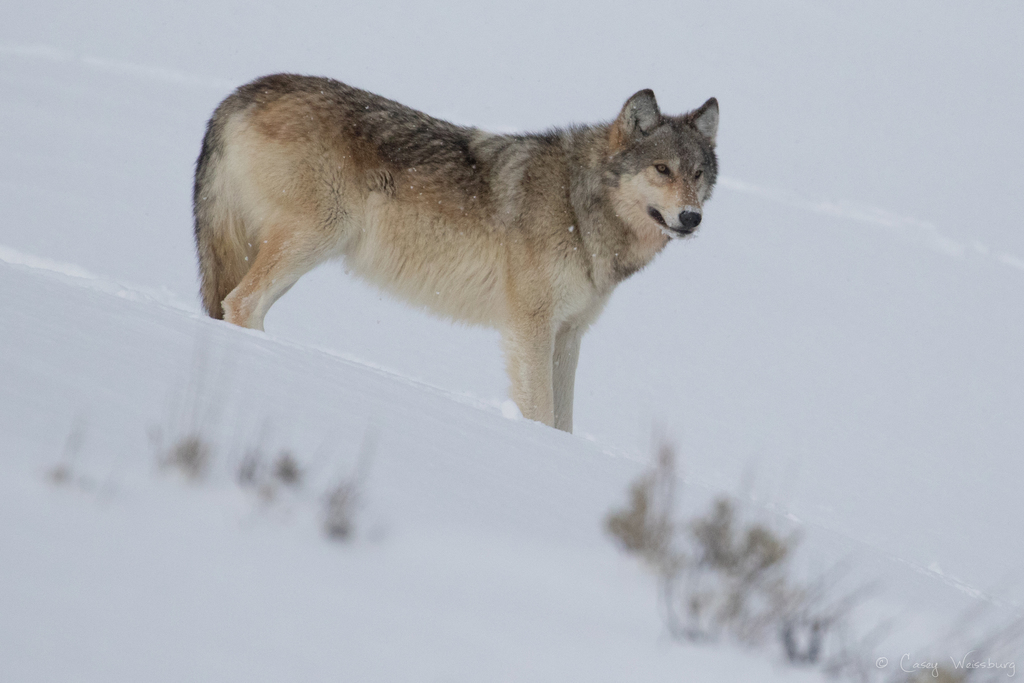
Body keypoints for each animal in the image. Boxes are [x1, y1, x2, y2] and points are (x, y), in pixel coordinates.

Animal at [193, 76, 720, 432]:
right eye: (661, 169)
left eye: (697, 174)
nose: (691, 218)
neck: (577, 202)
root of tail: (243, 91)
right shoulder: (531, 327)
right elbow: (540, 412)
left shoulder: (569, 334)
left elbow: (563, 422)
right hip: (313, 240)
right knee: (241, 303)